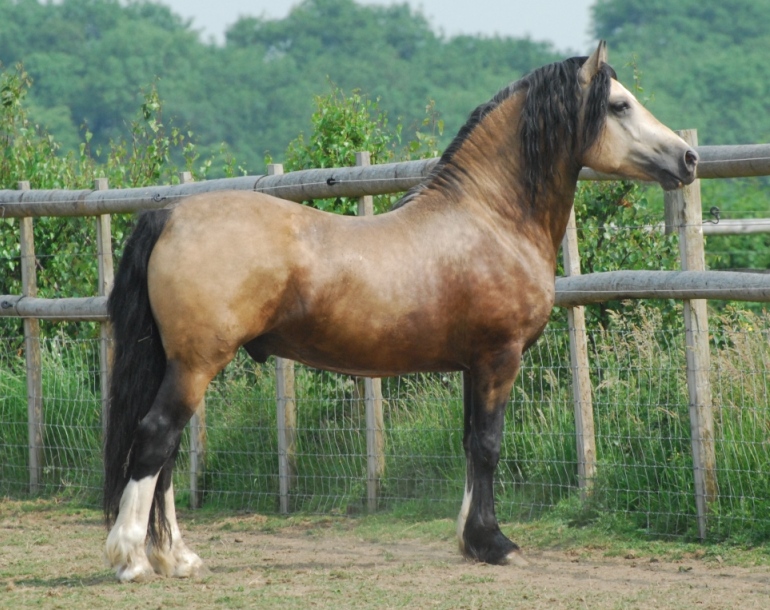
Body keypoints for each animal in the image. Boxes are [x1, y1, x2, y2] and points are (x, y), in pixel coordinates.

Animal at [102, 42, 696, 580]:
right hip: (196, 364)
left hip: (181, 364)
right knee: (156, 438)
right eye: (619, 104)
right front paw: (495, 543)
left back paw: (177, 557)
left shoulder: (473, 366)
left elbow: (469, 443)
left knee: (167, 452)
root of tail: (171, 215)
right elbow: (488, 446)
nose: (687, 159)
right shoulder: (499, 359)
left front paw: (470, 540)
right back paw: (133, 559)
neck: (489, 218)